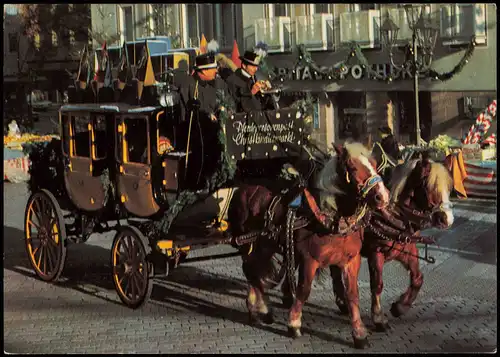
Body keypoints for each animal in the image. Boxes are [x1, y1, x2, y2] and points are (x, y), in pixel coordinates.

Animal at [229, 141, 392, 348]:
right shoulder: (309, 259)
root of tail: (242, 189)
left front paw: (359, 333)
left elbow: (352, 295)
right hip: (248, 243)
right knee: (251, 271)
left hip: (264, 245)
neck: (330, 216)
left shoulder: (351, 260)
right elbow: (304, 290)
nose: (383, 196)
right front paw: (294, 324)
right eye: (353, 167)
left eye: (374, 163)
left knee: (253, 271)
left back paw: (257, 308)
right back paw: (262, 308)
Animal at [330, 153, 456, 330]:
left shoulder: (406, 249)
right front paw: (378, 318)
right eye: (427, 186)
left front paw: (400, 306)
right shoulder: (376, 251)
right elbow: (377, 284)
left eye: (450, 188)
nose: (447, 219)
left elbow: (417, 278)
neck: (394, 213)